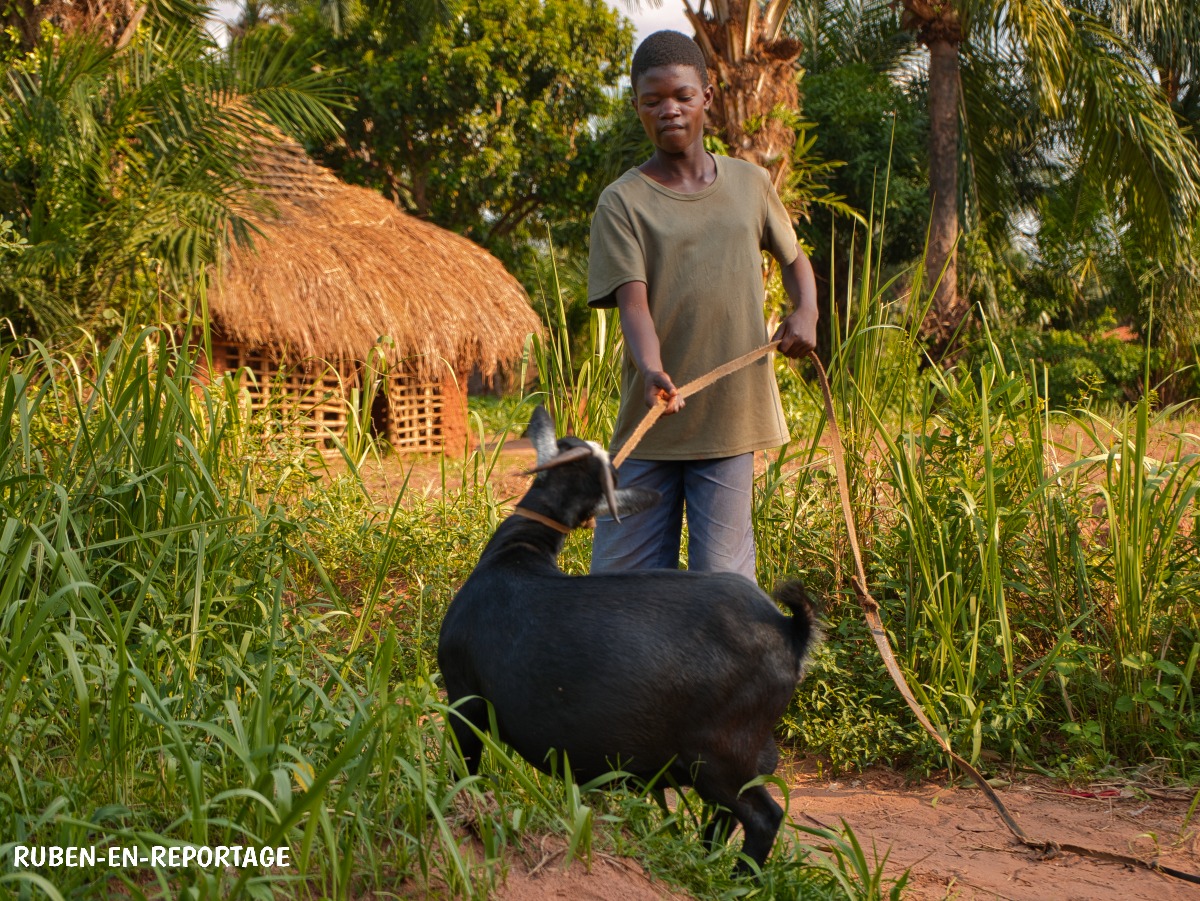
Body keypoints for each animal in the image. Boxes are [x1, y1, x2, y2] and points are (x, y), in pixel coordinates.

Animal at [436, 407, 820, 868]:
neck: (517, 554)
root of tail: (789, 630)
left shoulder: (464, 694)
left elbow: (463, 769)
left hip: (719, 753)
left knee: (763, 817)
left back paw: (736, 876)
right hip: (742, 756)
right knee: (728, 812)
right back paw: (703, 862)